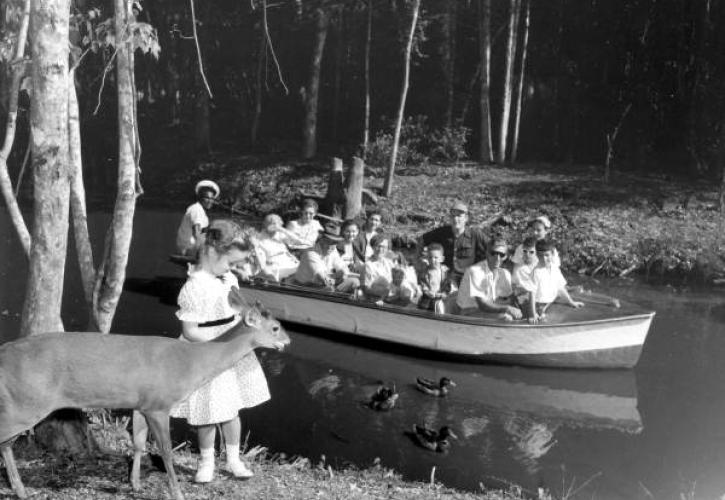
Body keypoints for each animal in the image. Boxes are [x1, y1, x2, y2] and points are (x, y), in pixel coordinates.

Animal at [0, 286, 288, 500]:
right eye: (275, 327)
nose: (287, 341)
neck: (191, 363)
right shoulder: (159, 404)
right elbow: (166, 451)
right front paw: (177, 493)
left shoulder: (141, 403)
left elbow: (138, 443)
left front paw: (135, 484)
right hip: (26, 401)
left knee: (5, 443)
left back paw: (21, 490)